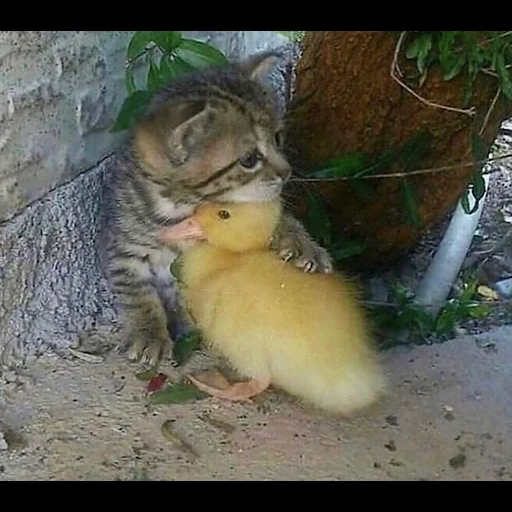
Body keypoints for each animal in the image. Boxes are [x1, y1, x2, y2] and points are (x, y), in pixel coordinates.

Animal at [99, 51, 332, 364]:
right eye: (249, 159)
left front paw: (301, 243)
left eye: (277, 138)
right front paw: (147, 333)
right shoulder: (123, 245)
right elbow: (134, 288)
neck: (184, 204)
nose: (287, 172)